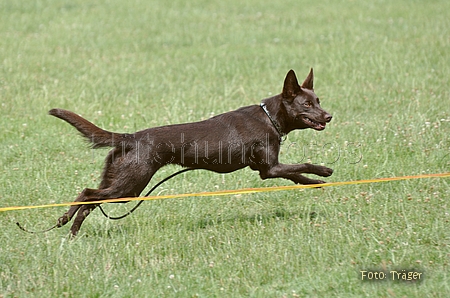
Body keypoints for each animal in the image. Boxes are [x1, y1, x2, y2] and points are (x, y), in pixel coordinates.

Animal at [49, 69, 332, 235]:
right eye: (307, 104)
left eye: (318, 101)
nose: (329, 116)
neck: (270, 117)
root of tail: (131, 138)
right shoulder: (269, 169)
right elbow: (304, 164)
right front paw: (324, 171)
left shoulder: (267, 169)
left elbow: (296, 175)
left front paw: (314, 183)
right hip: (130, 185)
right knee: (87, 194)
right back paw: (66, 223)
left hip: (120, 182)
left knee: (90, 199)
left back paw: (70, 229)